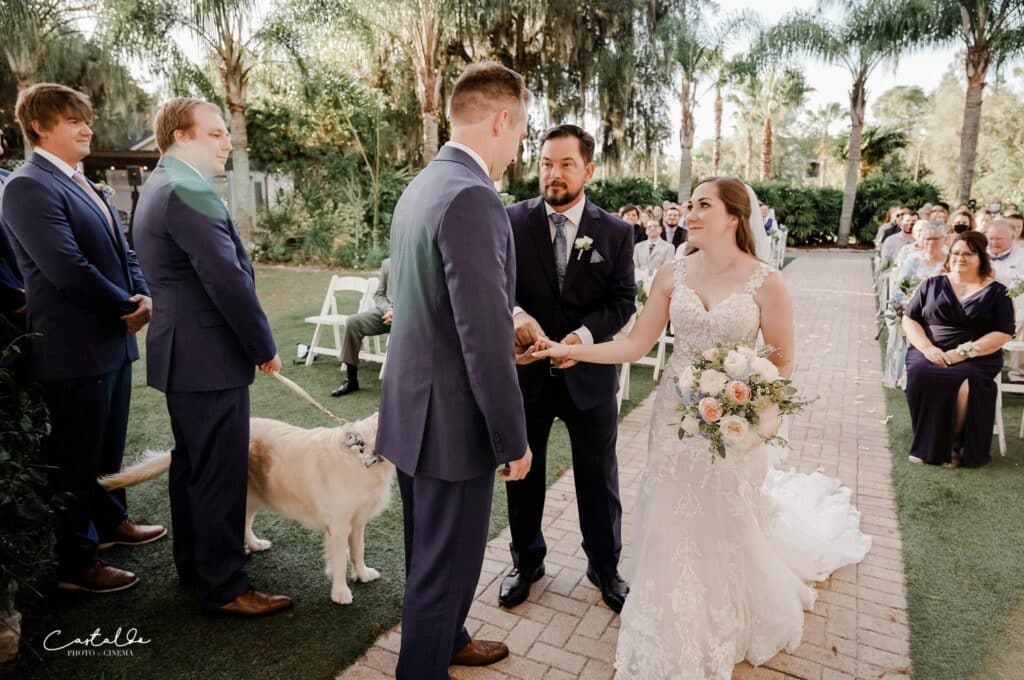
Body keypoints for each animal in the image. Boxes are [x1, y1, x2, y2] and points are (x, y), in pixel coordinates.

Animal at [99, 411, 393, 602]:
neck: (361, 452)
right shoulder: (339, 525)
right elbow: (340, 559)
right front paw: (341, 592)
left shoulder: (357, 521)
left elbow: (358, 550)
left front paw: (363, 574)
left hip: (252, 496)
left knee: (244, 523)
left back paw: (254, 545)